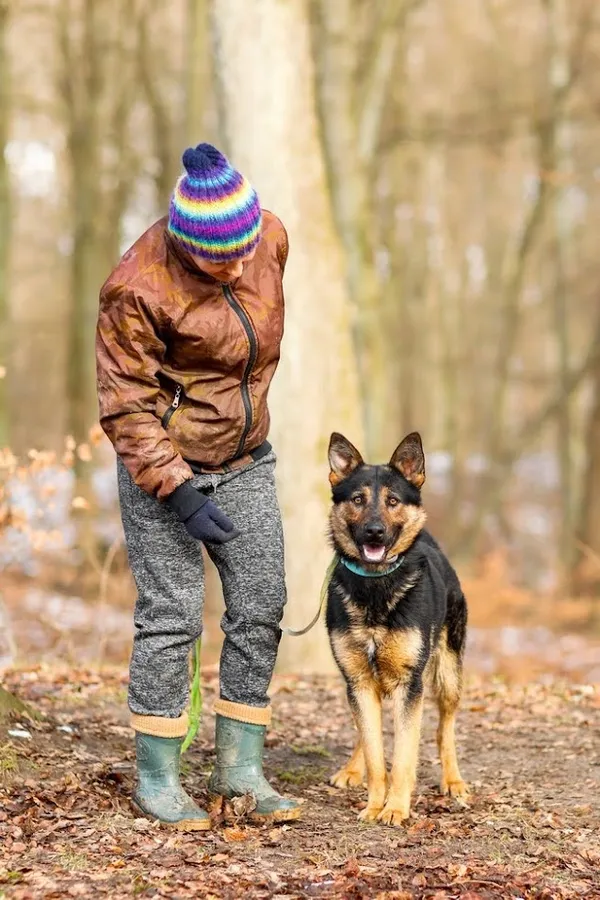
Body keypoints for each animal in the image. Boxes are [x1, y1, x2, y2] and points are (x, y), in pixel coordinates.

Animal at [326, 432, 466, 828]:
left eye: (392, 501)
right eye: (358, 500)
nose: (374, 531)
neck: (376, 586)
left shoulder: (409, 685)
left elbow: (403, 757)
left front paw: (397, 808)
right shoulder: (358, 681)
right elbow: (377, 756)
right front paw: (375, 804)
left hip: (447, 675)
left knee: (444, 728)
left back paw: (454, 780)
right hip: (361, 686)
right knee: (365, 731)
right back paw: (351, 769)